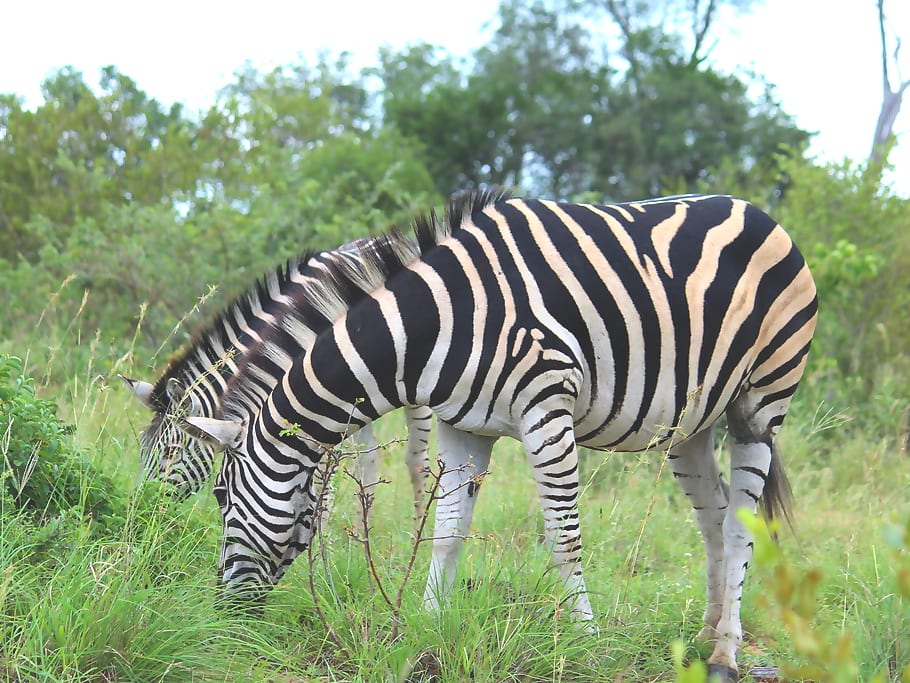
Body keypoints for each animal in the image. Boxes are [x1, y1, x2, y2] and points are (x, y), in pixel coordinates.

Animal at [117, 243, 434, 528]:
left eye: (171, 452)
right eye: (143, 449)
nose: (141, 509)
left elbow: (319, 478)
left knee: (416, 461)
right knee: (368, 461)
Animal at [183, 190, 820, 680]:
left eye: (221, 498)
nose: (221, 617)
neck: (437, 324)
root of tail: (754, 209)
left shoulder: (547, 406)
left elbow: (563, 536)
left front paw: (586, 644)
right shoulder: (461, 425)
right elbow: (445, 533)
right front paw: (426, 629)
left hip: (761, 399)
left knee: (742, 524)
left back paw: (724, 656)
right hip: (691, 421)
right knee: (715, 516)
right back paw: (707, 631)